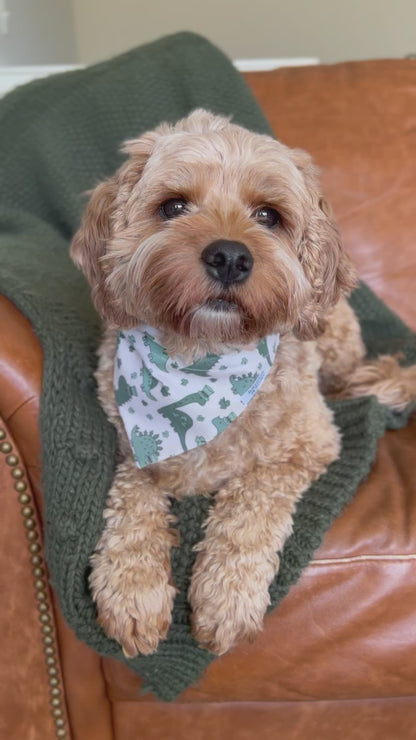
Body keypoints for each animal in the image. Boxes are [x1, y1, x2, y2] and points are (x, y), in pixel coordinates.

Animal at [70, 107, 414, 656]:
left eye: (268, 215)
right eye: (173, 206)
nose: (229, 256)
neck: (204, 359)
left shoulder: (307, 446)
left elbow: (249, 504)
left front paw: (225, 600)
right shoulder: (131, 448)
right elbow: (132, 502)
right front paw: (132, 589)